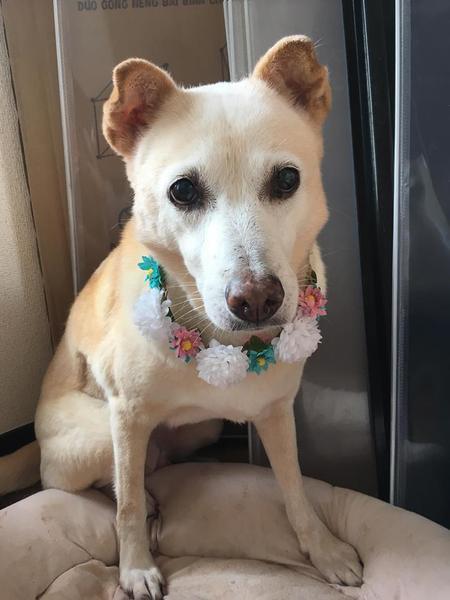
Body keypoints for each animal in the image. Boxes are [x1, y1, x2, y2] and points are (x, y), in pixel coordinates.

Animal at [0, 36, 362, 599]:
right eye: (183, 191)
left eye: (287, 179)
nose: (256, 299)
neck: (224, 344)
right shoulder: (126, 418)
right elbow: (125, 507)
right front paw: (134, 568)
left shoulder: (276, 413)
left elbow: (297, 491)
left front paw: (323, 550)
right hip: (97, 436)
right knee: (111, 483)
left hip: (200, 430)